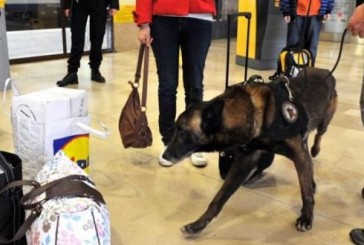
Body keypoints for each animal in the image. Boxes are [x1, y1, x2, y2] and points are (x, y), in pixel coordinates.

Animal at [163, 67, 338, 235]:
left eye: (183, 133)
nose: (164, 155)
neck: (251, 113)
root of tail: (324, 71)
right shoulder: (244, 163)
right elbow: (219, 198)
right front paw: (198, 225)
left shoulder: (297, 154)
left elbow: (305, 192)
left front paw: (306, 217)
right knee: (309, 162)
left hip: (323, 124)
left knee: (318, 137)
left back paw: (316, 150)